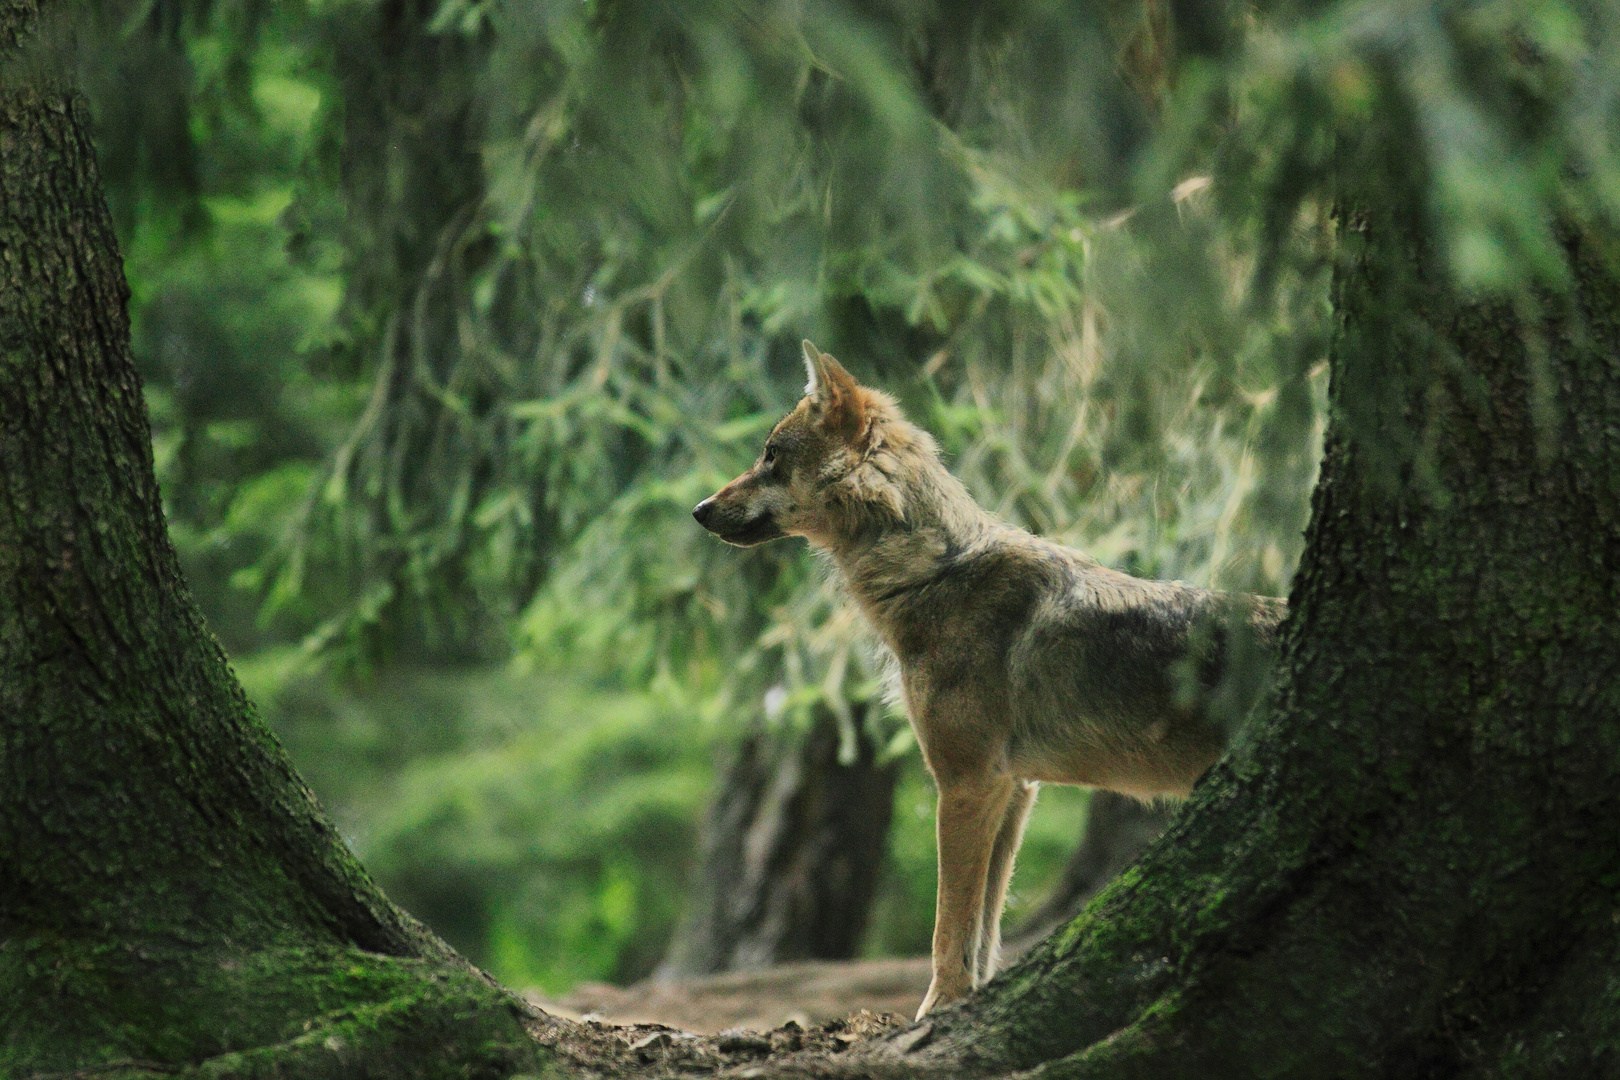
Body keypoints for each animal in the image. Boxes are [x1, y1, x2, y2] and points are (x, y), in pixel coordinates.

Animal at [690, 341, 1283, 1016]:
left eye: (770, 455)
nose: (698, 511)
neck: (933, 571)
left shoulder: (967, 783)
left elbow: (950, 926)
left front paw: (933, 1013)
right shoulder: (1015, 789)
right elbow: (986, 932)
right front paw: (967, 1004)